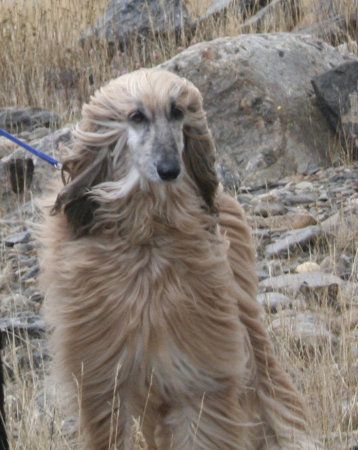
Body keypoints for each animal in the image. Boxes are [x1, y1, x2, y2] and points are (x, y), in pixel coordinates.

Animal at [39, 68, 316, 448]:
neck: (149, 237)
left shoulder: (198, 375)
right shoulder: (106, 380)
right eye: (136, 116)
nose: (170, 170)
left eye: (177, 112)